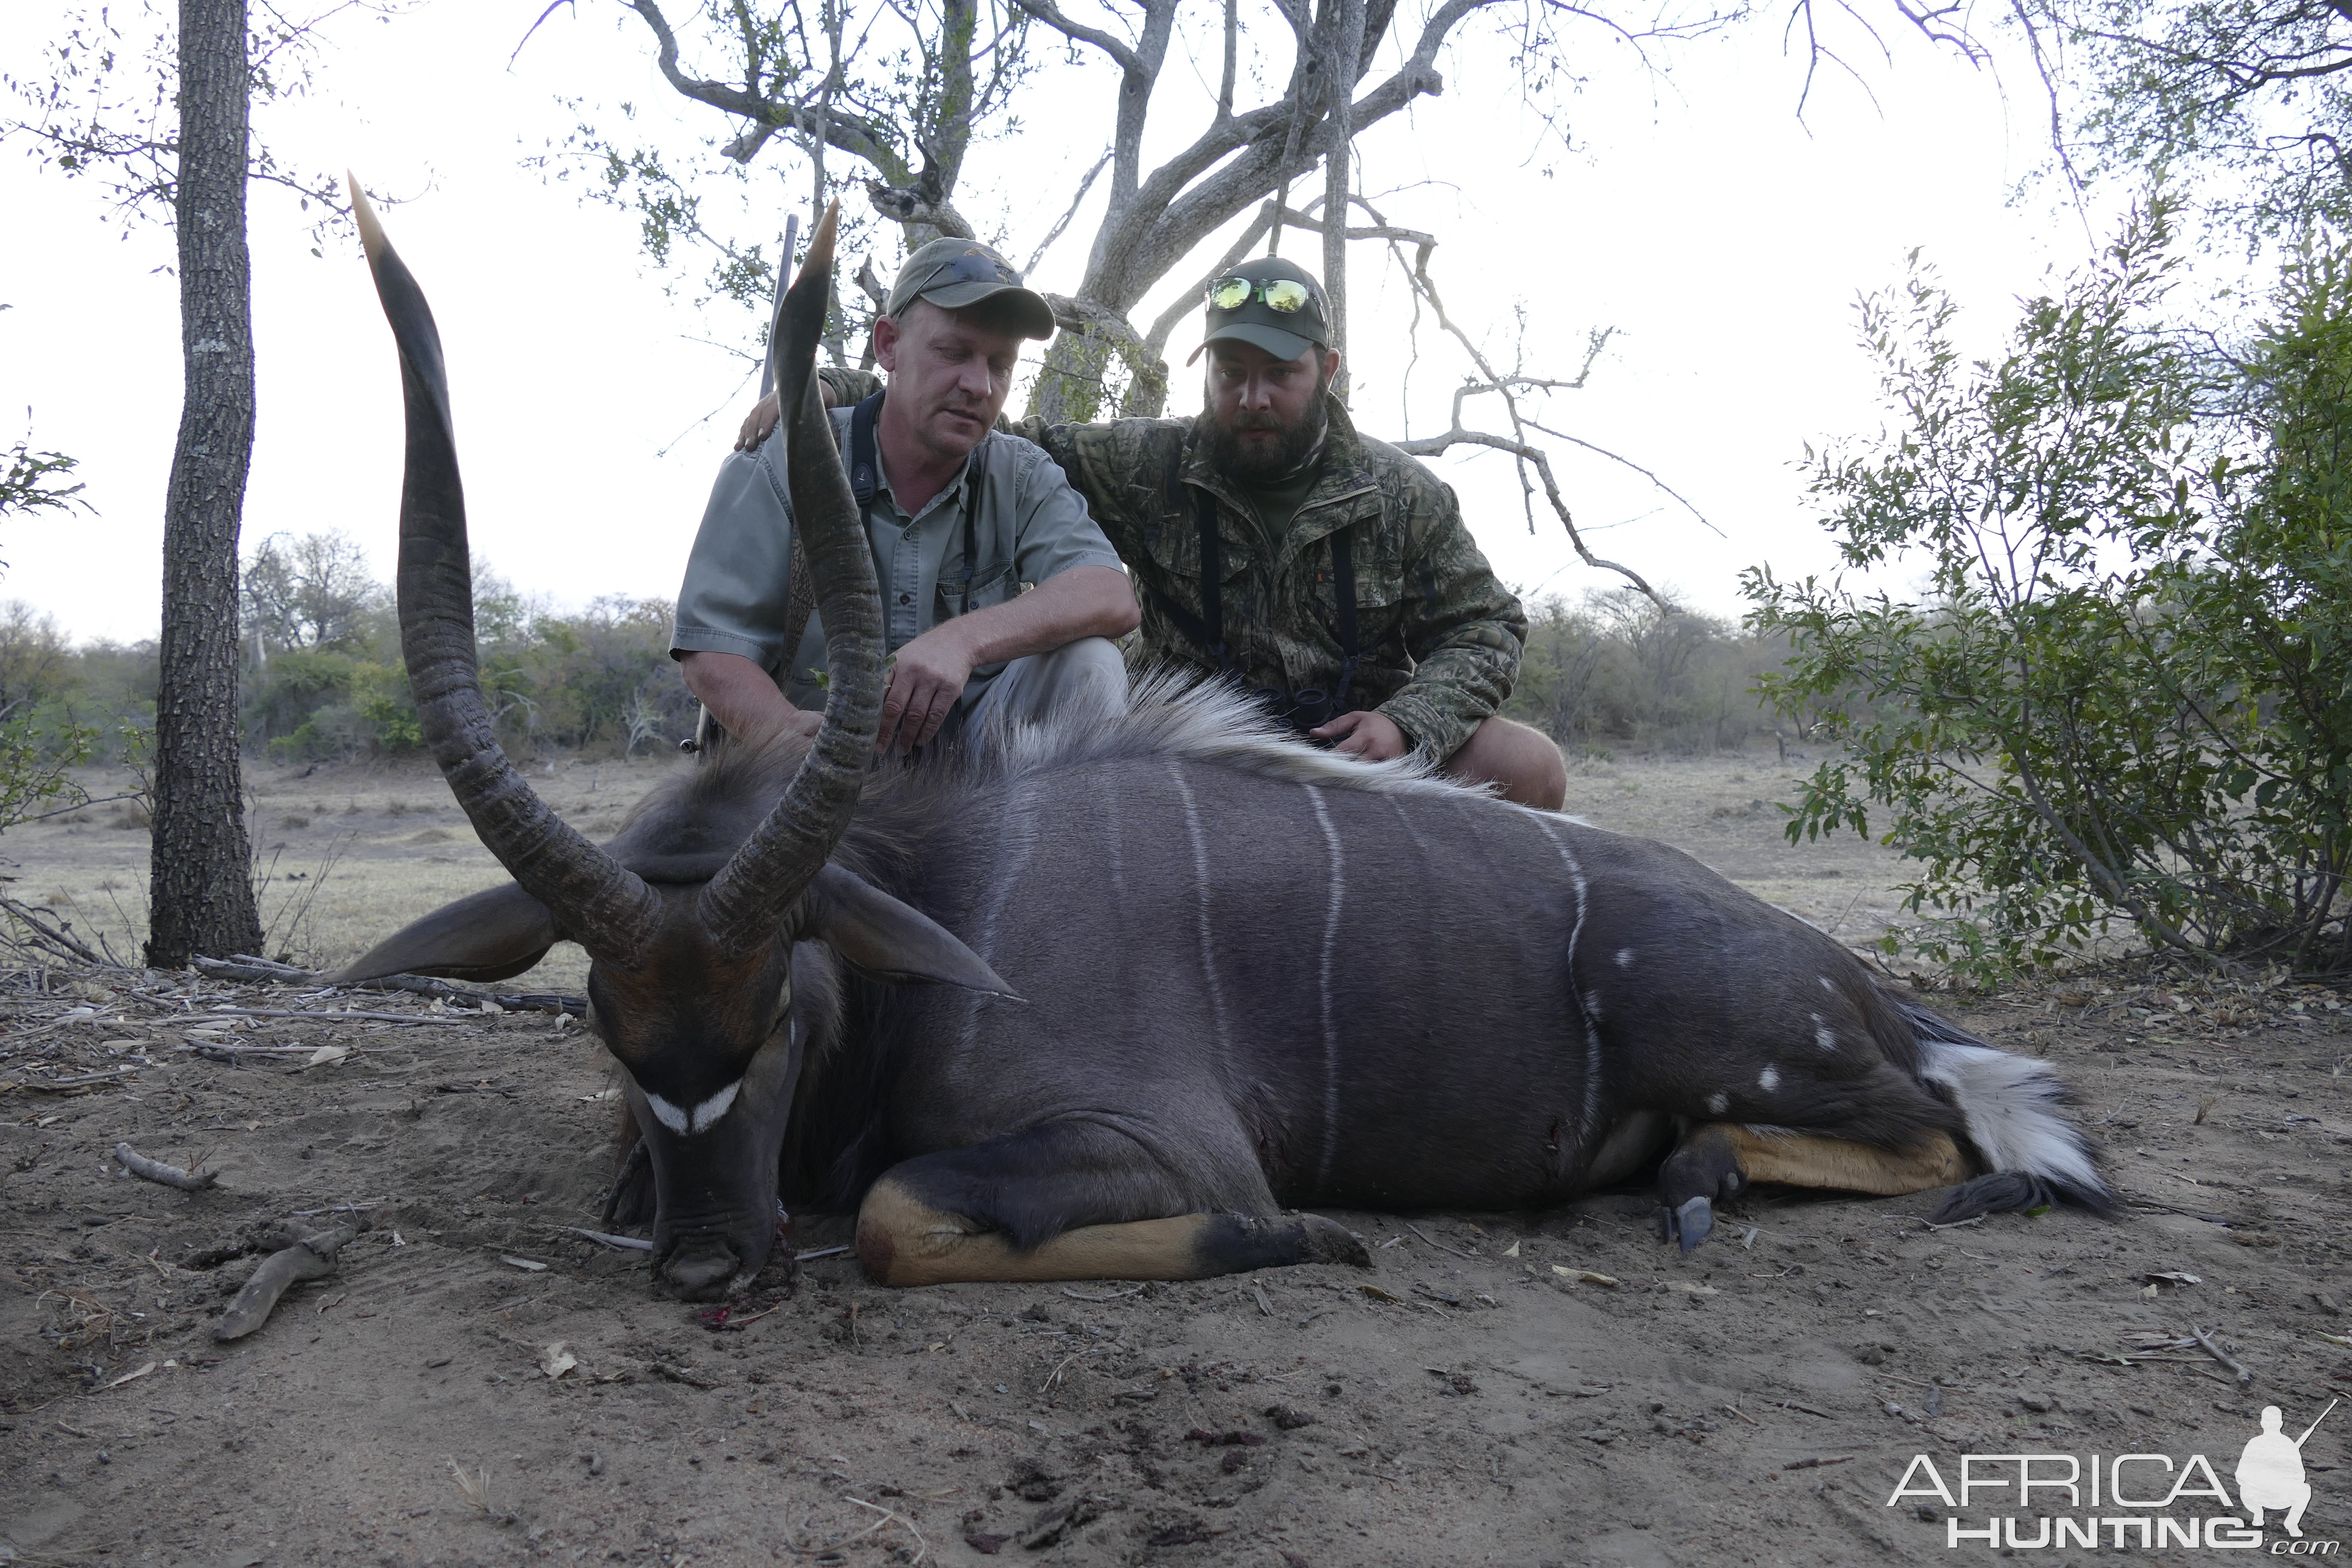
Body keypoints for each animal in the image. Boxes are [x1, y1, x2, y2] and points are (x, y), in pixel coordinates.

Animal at [336, 190, 2116, 1307]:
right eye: (602, 1020)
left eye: (780, 1004)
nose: (708, 1263)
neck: (947, 897)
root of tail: (1854, 973)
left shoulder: (1159, 1144)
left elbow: (906, 1215)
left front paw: (1307, 1242)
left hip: (1751, 1041)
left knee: (1940, 1129)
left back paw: (1708, 1175)